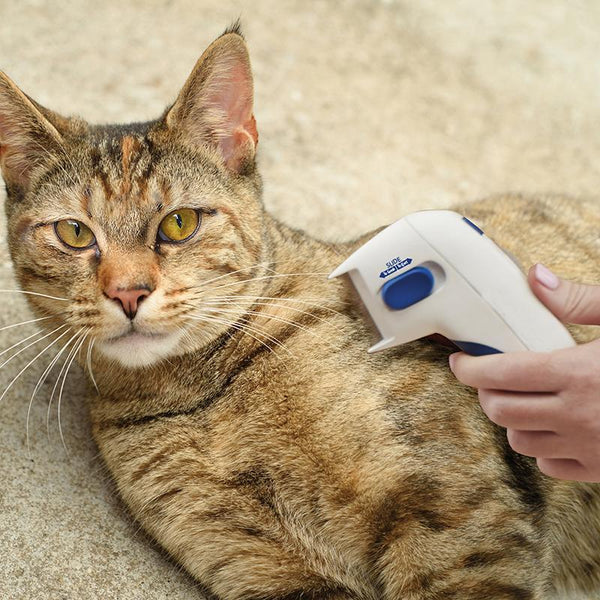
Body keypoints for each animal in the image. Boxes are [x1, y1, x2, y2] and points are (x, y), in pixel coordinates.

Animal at [1, 23, 600, 600]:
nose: (127, 292)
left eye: (179, 223)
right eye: (74, 232)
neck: (203, 394)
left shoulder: (456, 512)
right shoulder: (264, 566)